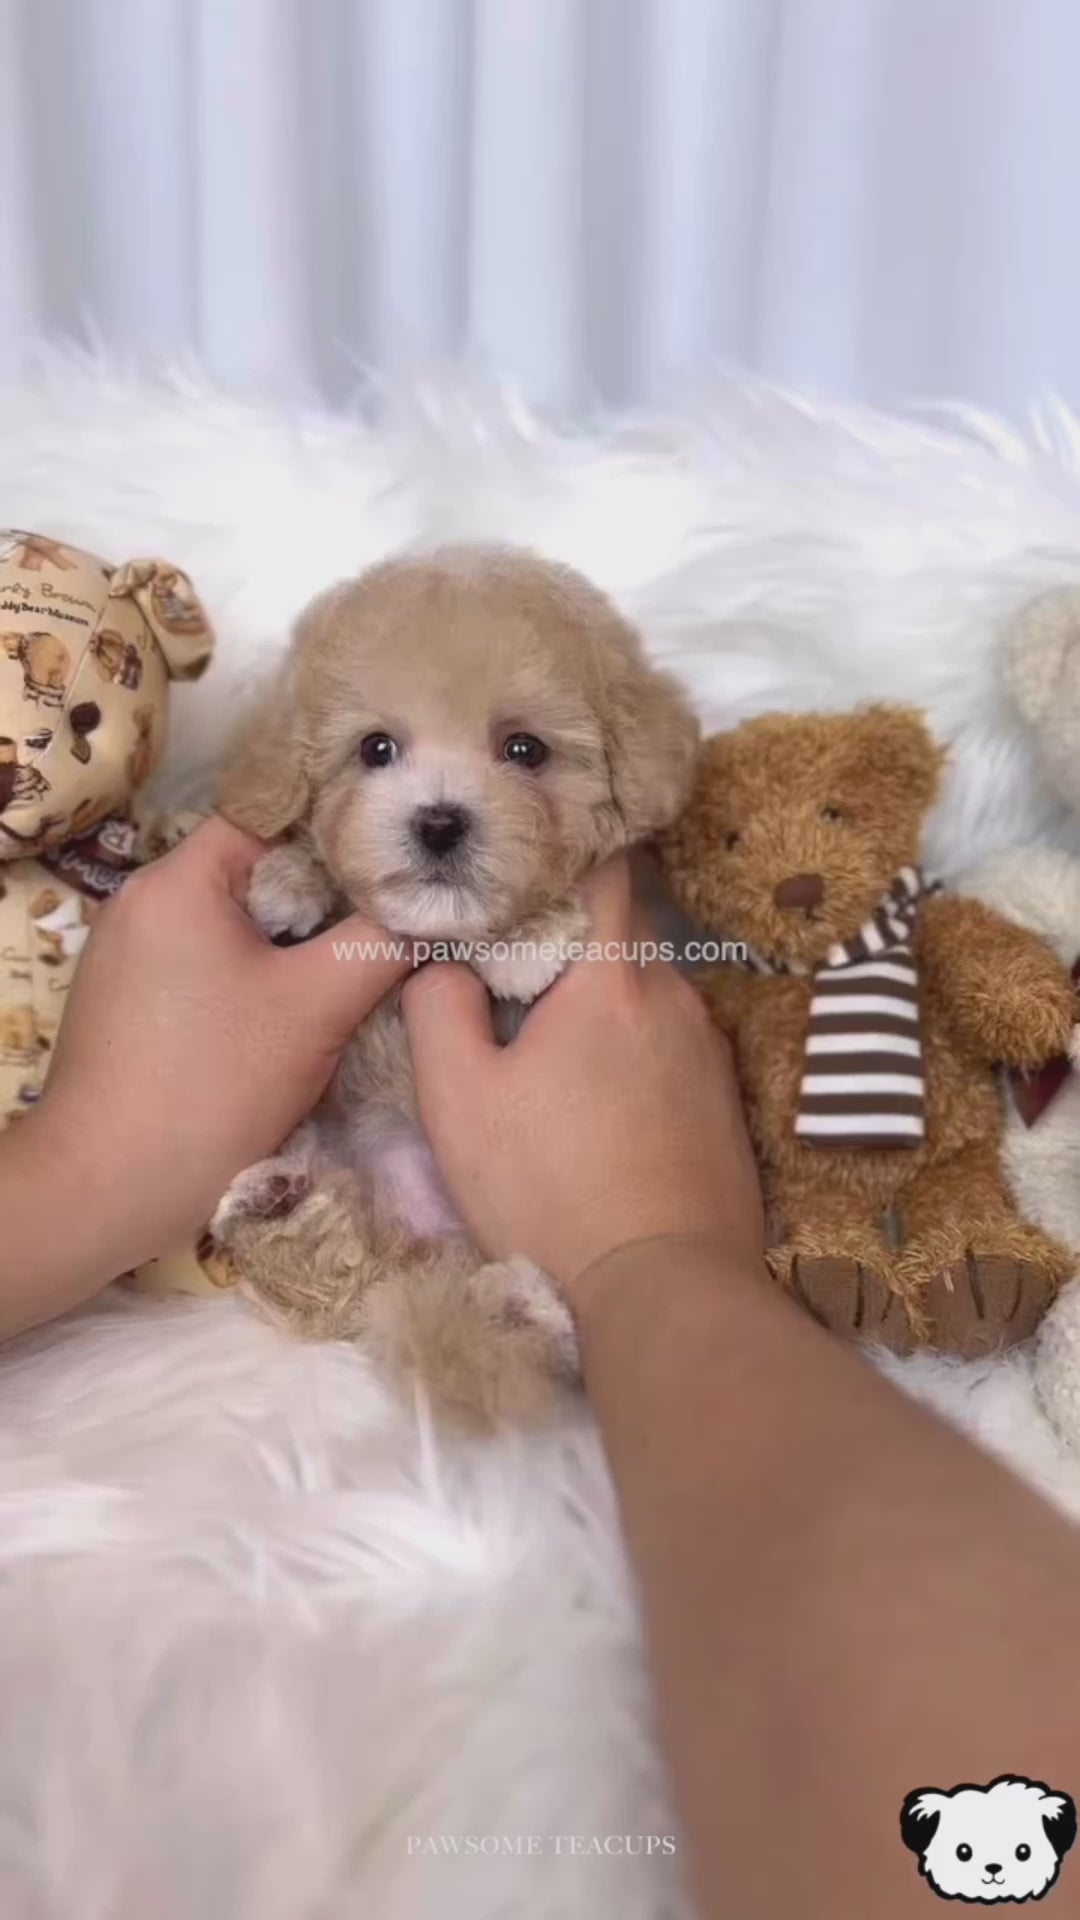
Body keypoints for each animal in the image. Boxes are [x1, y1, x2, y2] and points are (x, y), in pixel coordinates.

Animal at [211, 541, 699, 1428]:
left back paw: (523, 1309)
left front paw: (528, 938)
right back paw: (278, 1203)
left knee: (537, 1353)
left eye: (525, 750)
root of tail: (421, 1246)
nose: (439, 821)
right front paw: (290, 881)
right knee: (330, 1262)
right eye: (375, 750)